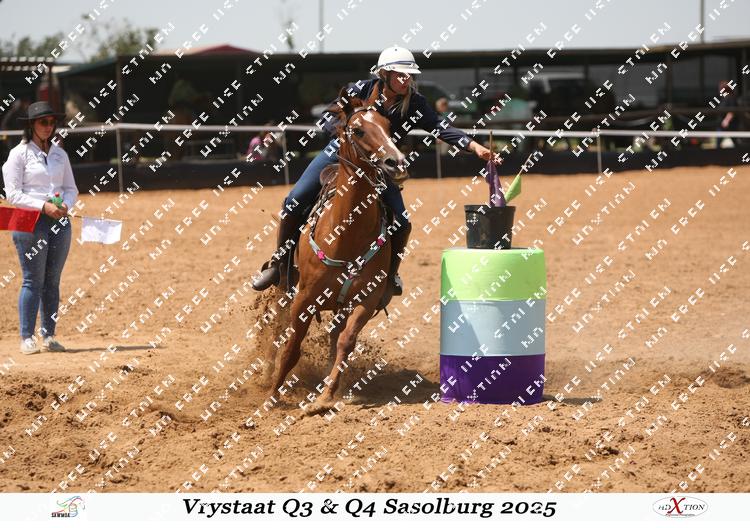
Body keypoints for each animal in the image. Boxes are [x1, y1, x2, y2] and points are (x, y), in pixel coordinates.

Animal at [266, 84, 408, 414]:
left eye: (389, 127)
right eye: (357, 130)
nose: (396, 162)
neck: (346, 235)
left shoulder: (366, 299)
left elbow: (345, 342)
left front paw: (326, 397)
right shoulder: (303, 298)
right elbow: (291, 347)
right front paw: (272, 396)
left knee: (334, 337)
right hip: (284, 290)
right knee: (278, 331)